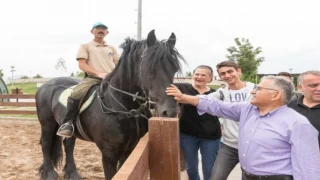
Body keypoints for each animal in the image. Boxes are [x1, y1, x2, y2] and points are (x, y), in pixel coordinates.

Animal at [35, 29, 184, 180]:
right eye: (151, 69)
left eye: (174, 68)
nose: (171, 111)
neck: (125, 108)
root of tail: (45, 85)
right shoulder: (109, 153)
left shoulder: (129, 150)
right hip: (47, 123)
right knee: (46, 144)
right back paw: (49, 173)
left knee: (68, 144)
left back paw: (72, 173)